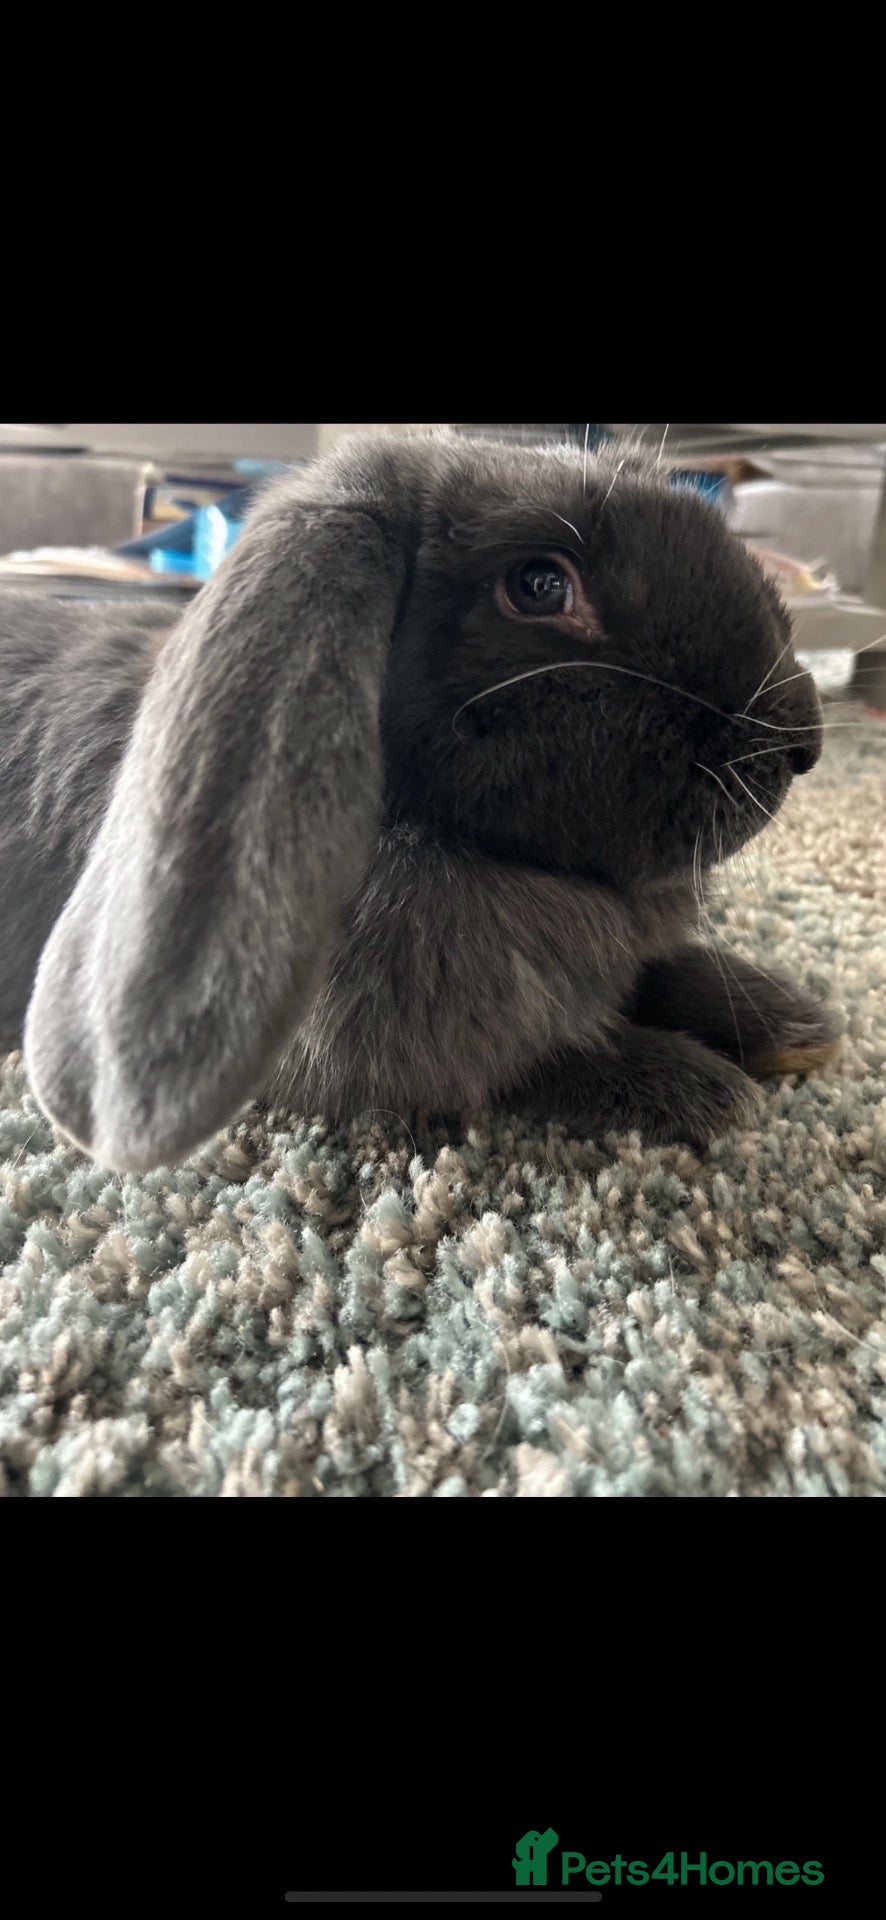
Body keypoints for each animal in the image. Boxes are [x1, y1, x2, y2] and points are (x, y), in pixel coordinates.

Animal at [0, 426, 839, 1174]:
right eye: (540, 586)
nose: (804, 738)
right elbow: (539, 1058)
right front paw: (701, 1089)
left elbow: (660, 972)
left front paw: (793, 1021)